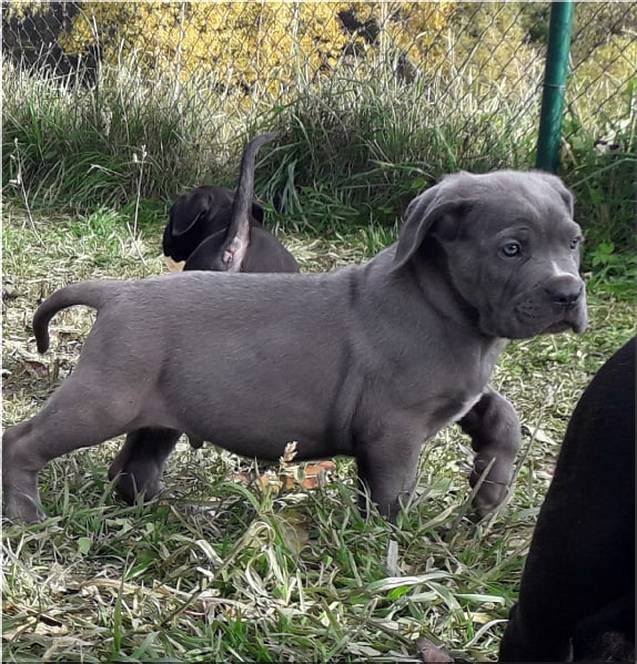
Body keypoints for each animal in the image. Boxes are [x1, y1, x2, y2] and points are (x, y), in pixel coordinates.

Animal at [2, 170, 587, 523]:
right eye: (511, 249)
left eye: (574, 242)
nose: (569, 293)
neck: (444, 306)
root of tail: (118, 292)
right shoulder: (394, 428)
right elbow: (391, 493)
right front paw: (391, 550)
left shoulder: (456, 391)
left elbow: (503, 414)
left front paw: (490, 488)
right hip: (103, 399)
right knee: (22, 440)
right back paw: (25, 515)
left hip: (156, 414)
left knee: (132, 469)